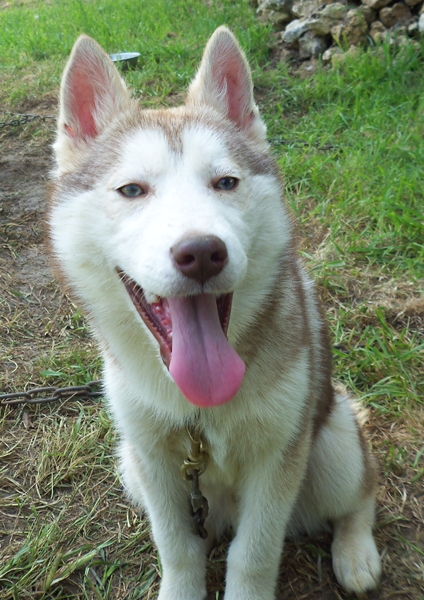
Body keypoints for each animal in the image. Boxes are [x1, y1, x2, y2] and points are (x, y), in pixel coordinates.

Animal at [49, 26, 381, 600]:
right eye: (131, 189)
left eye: (226, 182)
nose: (202, 252)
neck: (199, 412)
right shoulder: (153, 459)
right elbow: (177, 547)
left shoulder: (278, 459)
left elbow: (253, 555)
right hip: (128, 465)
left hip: (334, 440)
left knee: (360, 495)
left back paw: (357, 553)